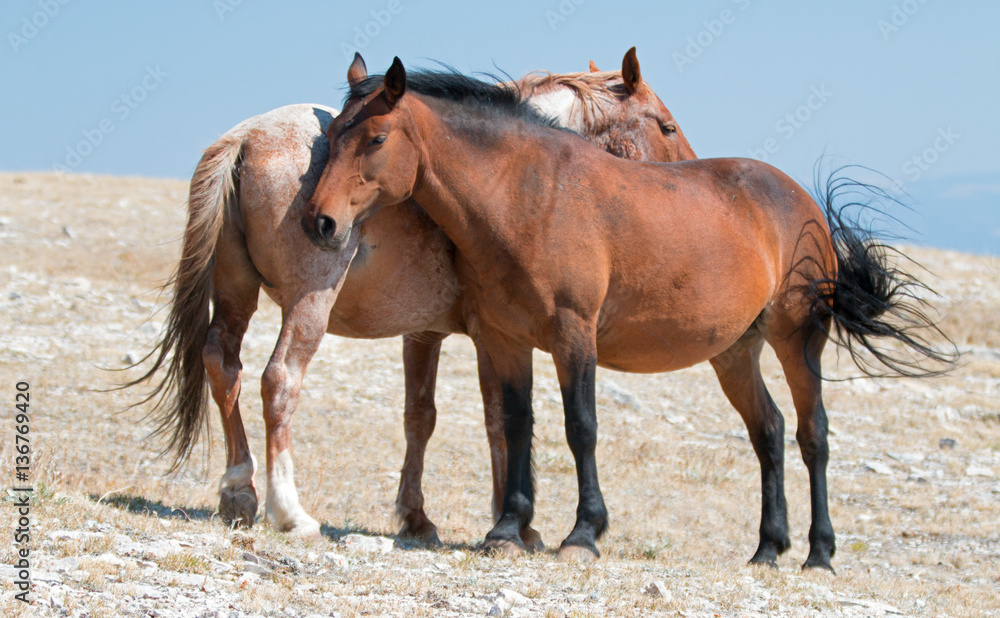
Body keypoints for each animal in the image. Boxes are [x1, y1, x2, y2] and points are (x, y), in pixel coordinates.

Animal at [129, 48, 696, 546]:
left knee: (223, 364)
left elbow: (420, 417)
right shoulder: (493, 337)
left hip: (235, 295)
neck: (510, 178)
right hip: (307, 306)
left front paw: (417, 518)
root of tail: (245, 138)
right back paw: (289, 511)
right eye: (667, 126)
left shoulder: (424, 333)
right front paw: (513, 522)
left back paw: (239, 493)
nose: (686, 175)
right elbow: (499, 420)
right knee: (280, 380)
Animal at [304, 56, 954, 569]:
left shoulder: (573, 335)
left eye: (375, 138)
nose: (321, 222)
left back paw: (819, 552)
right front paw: (508, 528)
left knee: (811, 434)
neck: (527, 195)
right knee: (767, 431)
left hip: (798, 339)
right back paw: (768, 548)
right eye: (331, 134)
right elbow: (515, 426)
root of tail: (800, 199)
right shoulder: (504, 339)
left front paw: (583, 533)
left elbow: (580, 427)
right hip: (734, 352)